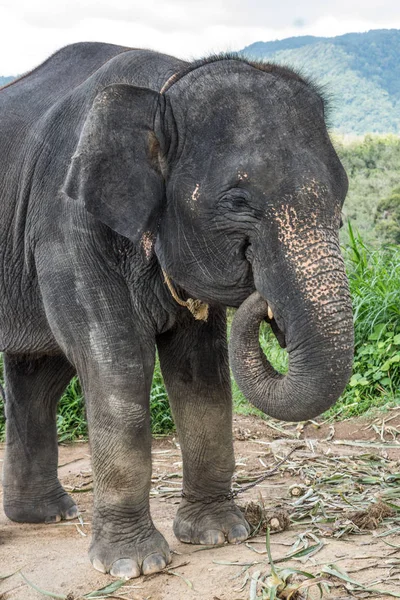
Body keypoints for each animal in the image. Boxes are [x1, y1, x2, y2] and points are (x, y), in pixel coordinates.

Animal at [0, 42, 354, 580]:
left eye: (342, 197)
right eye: (238, 201)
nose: (265, 301)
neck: (164, 90)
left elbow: (201, 370)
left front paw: (220, 536)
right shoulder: (64, 225)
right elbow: (117, 360)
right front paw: (133, 565)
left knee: (38, 376)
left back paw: (48, 515)